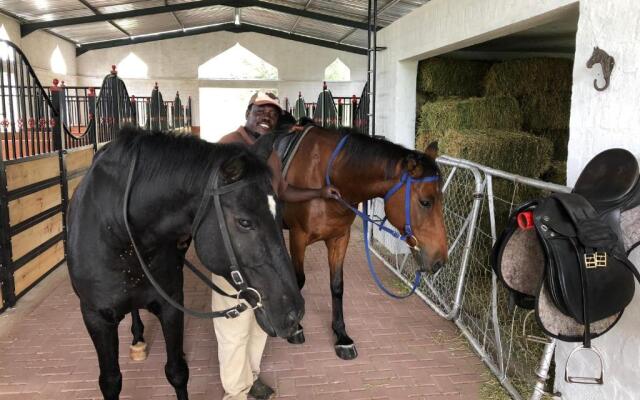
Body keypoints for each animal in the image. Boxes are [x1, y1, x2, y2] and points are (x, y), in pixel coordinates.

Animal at [67, 126, 304, 398]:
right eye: (244, 222)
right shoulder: (95, 317)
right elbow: (111, 381)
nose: (295, 312)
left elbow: (177, 372)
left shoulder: (171, 304)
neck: (115, 229)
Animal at [282, 127, 448, 360]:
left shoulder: (339, 238)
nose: (440, 260)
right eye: (425, 202)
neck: (325, 174)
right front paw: (295, 327)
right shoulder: (298, 236)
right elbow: (298, 280)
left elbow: (337, 286)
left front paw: (341, 335)